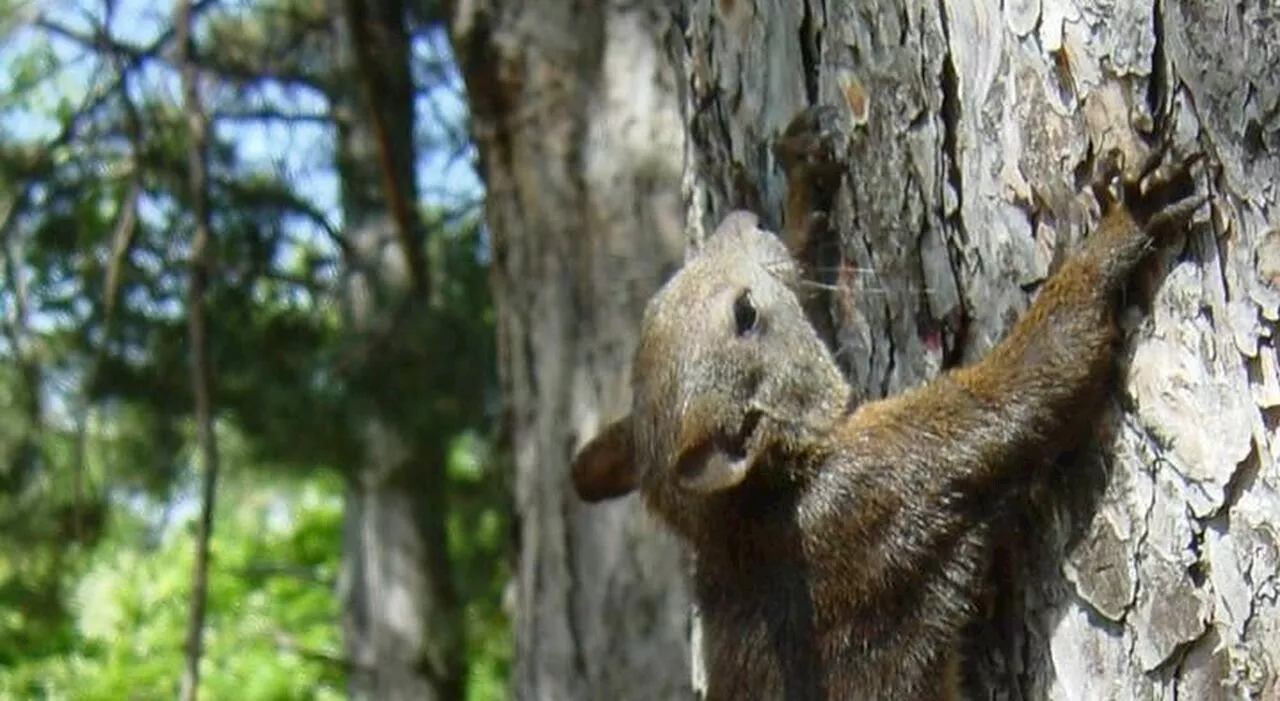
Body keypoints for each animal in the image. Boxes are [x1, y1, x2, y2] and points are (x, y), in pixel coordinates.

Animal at [570, 105, 1208, 701]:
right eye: (744, 314)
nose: (742, 218)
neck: (748, 514)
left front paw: (801, 190)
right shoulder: (893, 478)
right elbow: (1033, 382)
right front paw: (1124, 227)